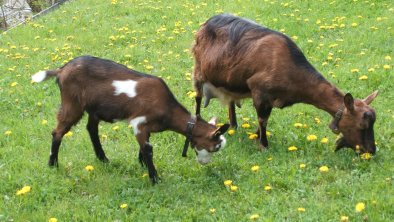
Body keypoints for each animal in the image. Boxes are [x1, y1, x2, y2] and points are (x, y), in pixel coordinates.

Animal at [33, 56, 231, 184]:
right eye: (215, 147)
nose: (205, 164)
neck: (167, 110)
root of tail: (62, 69)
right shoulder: (139, 123)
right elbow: (148, 149)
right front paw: (154, 178)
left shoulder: (147, 128)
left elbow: (144, 147)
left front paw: (142, 165)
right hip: (72, 103)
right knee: (58, 132)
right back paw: (53, 164)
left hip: (94, 108)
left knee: (91, 129)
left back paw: (103, 159)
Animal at [192, 14, 378, 154]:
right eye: (362, 125)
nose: (371, 150)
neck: (289, 65)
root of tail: (206, 23)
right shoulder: (259, 91)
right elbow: (263, 120)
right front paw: (263, 145)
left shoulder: (269, 99)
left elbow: (264, 119)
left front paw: (256, 137)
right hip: (198, 70)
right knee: (198, 97)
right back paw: (198, 121)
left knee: (230, 100)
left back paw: (234, 125)